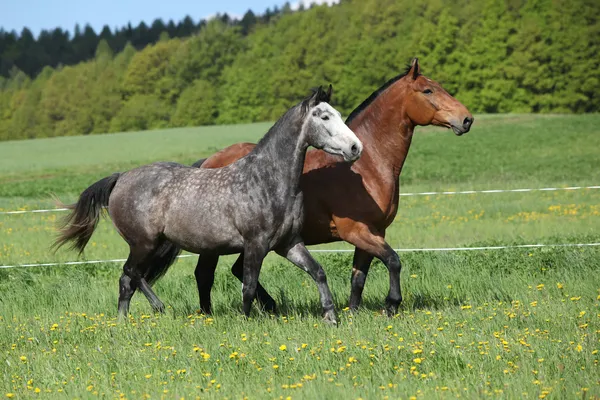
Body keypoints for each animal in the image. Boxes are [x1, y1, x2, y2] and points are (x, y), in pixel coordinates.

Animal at [56, 86, 364, 324]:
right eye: (324, 116)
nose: (355, 148)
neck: (266, 180)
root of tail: (121, 178)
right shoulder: (255, 244)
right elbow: (249, 286)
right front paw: (246, 321)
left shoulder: (288, 243)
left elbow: (318, 272)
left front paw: (331, 317)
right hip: (143, 243)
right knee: (130, 275)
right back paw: (144, 313)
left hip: (153, 244)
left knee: (130, 279)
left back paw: (138, 316)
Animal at [200, 58, 474, 316]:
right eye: (428, 90)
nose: (467, 119)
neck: (366, 165)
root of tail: (207, 162)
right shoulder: (356, 231)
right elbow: (393, 260)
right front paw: (391, 304)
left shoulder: (375, 231)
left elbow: (359, 277)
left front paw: (353, 313)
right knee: (206, 274)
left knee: (234, 270)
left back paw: (265, 306)